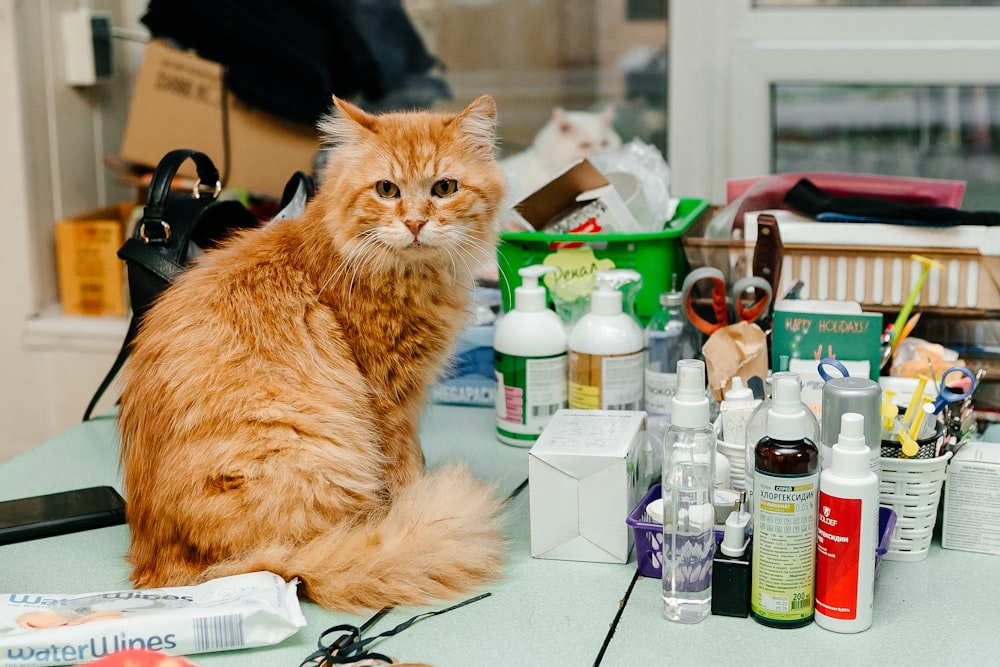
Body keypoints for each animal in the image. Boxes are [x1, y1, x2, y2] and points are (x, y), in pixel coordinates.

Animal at [118, 94, 508, 612]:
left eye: (444, 188)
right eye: (387, 190)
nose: (415, 223)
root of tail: (157, 569)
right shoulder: (391, 403)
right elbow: (404, 470)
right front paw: (410, 509)